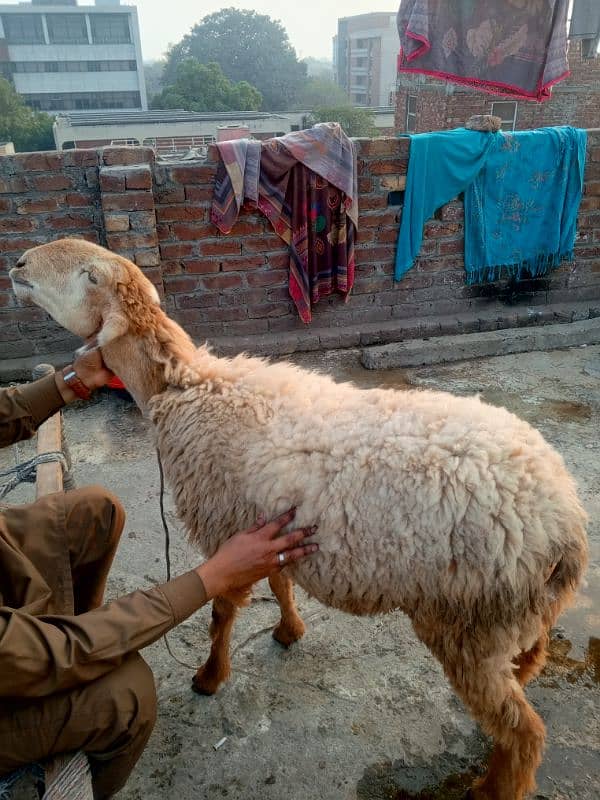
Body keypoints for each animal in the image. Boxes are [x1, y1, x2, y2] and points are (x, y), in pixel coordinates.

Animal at [11, 239, 588, 800]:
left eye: (89, 274)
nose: (17, 264)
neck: (188, 389)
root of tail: (565, 522)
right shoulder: (269, 521)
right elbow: (280, 582)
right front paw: (289, 630)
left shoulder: (227, 528)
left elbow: (222, 614)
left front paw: (210, 677)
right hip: (510, 615)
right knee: (526, 671)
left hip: (467, 619)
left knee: (525, 730)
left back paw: (492, 788)